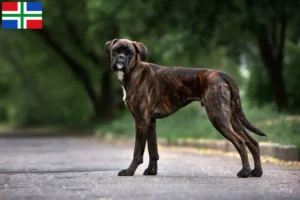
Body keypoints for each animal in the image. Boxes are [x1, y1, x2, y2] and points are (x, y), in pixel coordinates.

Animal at [105, 38, 264, 178]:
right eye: (115, 51)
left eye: (129, 53)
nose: (120, 57)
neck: (134, 71)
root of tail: (222, 74)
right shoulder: (150, 122)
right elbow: (153, 150)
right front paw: (151, 171)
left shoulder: (141, 121)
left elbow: (138, 151)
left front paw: (129, 171)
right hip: (232, 118)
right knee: (252, 142)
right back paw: (256, 172)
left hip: (218, 116)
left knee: (240, 141)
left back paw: (244, 172)